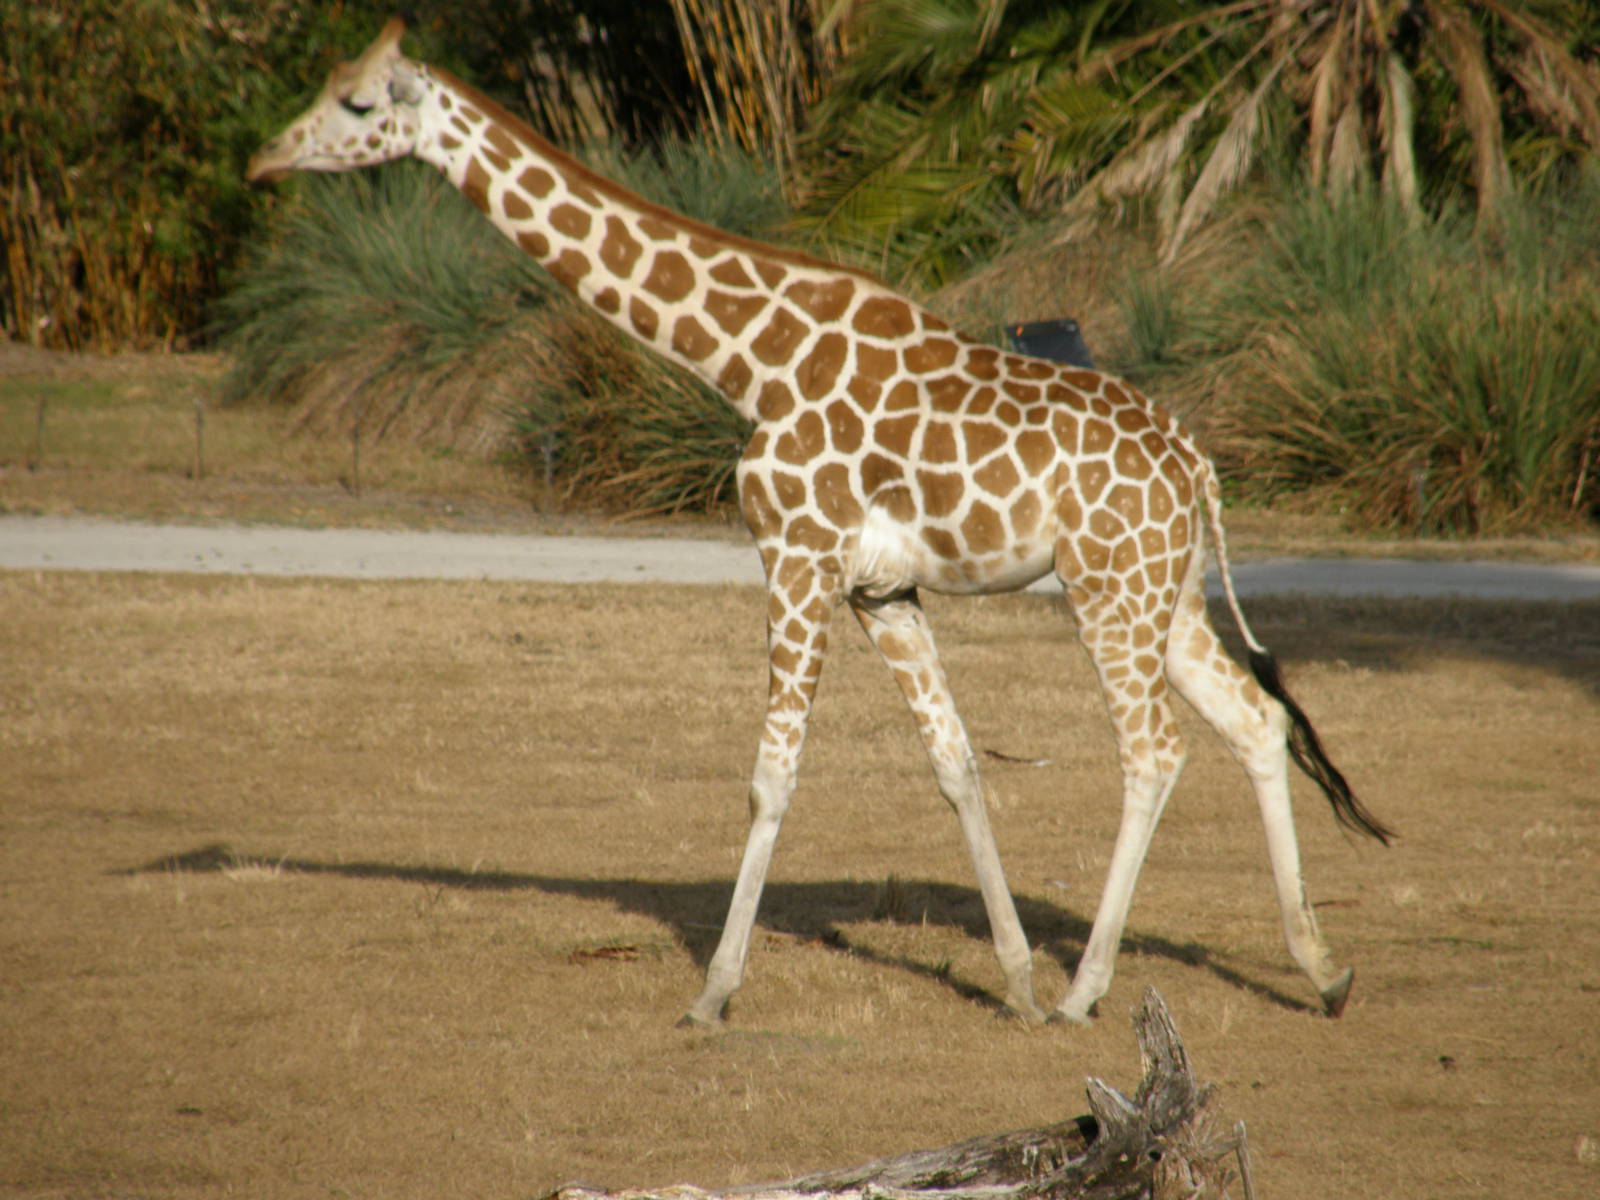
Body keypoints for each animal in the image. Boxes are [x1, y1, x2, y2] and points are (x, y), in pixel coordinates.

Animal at [247, 18, 1393, 1027]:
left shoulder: (795, 556)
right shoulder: (880, 588)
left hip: (1108, 592)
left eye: (355, 104)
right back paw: (1321, 969)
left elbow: (771, 779)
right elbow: (956, 765)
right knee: (1256, 719)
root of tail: (1194, 461)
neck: (746, 357)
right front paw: (1014, 980)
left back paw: (1091, 990)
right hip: (1164, 593)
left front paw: (713, 994)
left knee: (1155, 749)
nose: (264, 159)